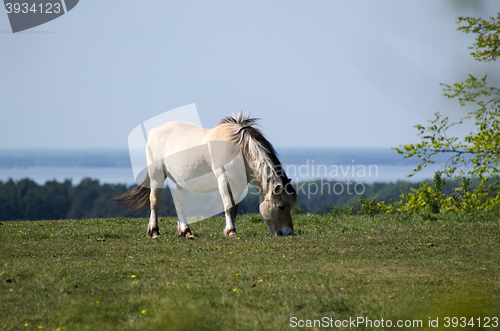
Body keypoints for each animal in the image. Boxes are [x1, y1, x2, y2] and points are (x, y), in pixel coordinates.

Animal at [113, 112, 296, 239]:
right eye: (281, 206)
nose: (287, 232)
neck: (238, 149)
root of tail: (153, 132)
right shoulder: (224, 180)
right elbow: (228, 206)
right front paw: (231, 232)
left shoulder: (238, 185)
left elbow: (234, 207)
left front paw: (229, 230)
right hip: (157, 175)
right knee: (154, 201)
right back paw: (154, 232)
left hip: (181, 181)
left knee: (179, 204)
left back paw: (186, 232)